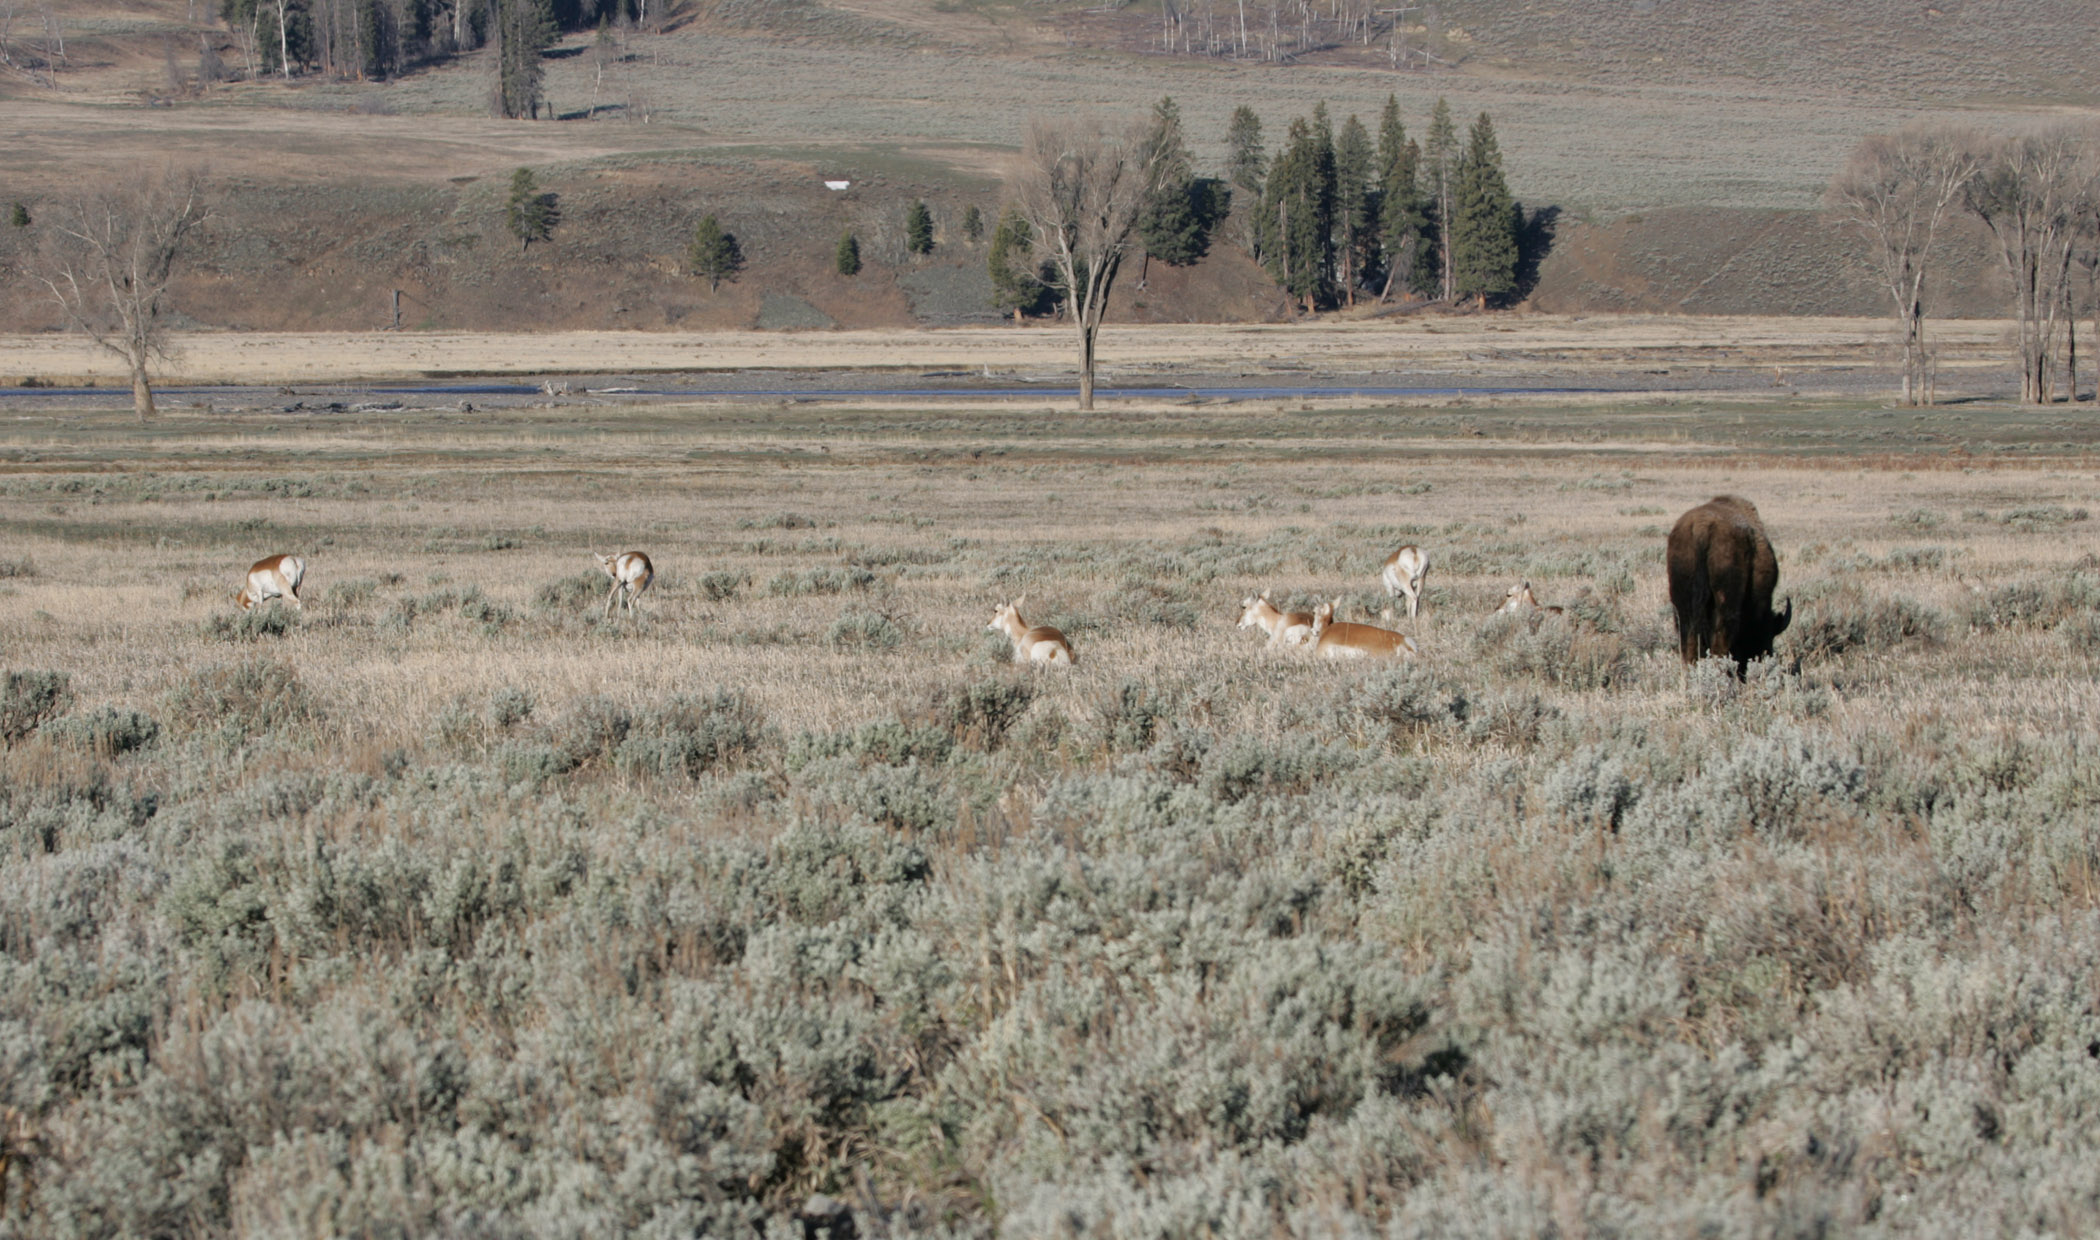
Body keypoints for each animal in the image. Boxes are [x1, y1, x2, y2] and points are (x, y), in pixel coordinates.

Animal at [1667, 495, 1792, 675]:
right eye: (1768, 634)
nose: (1765, 654)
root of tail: (1701, 529)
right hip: (1726, 603)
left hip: (1683, 605)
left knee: (1689, 643)